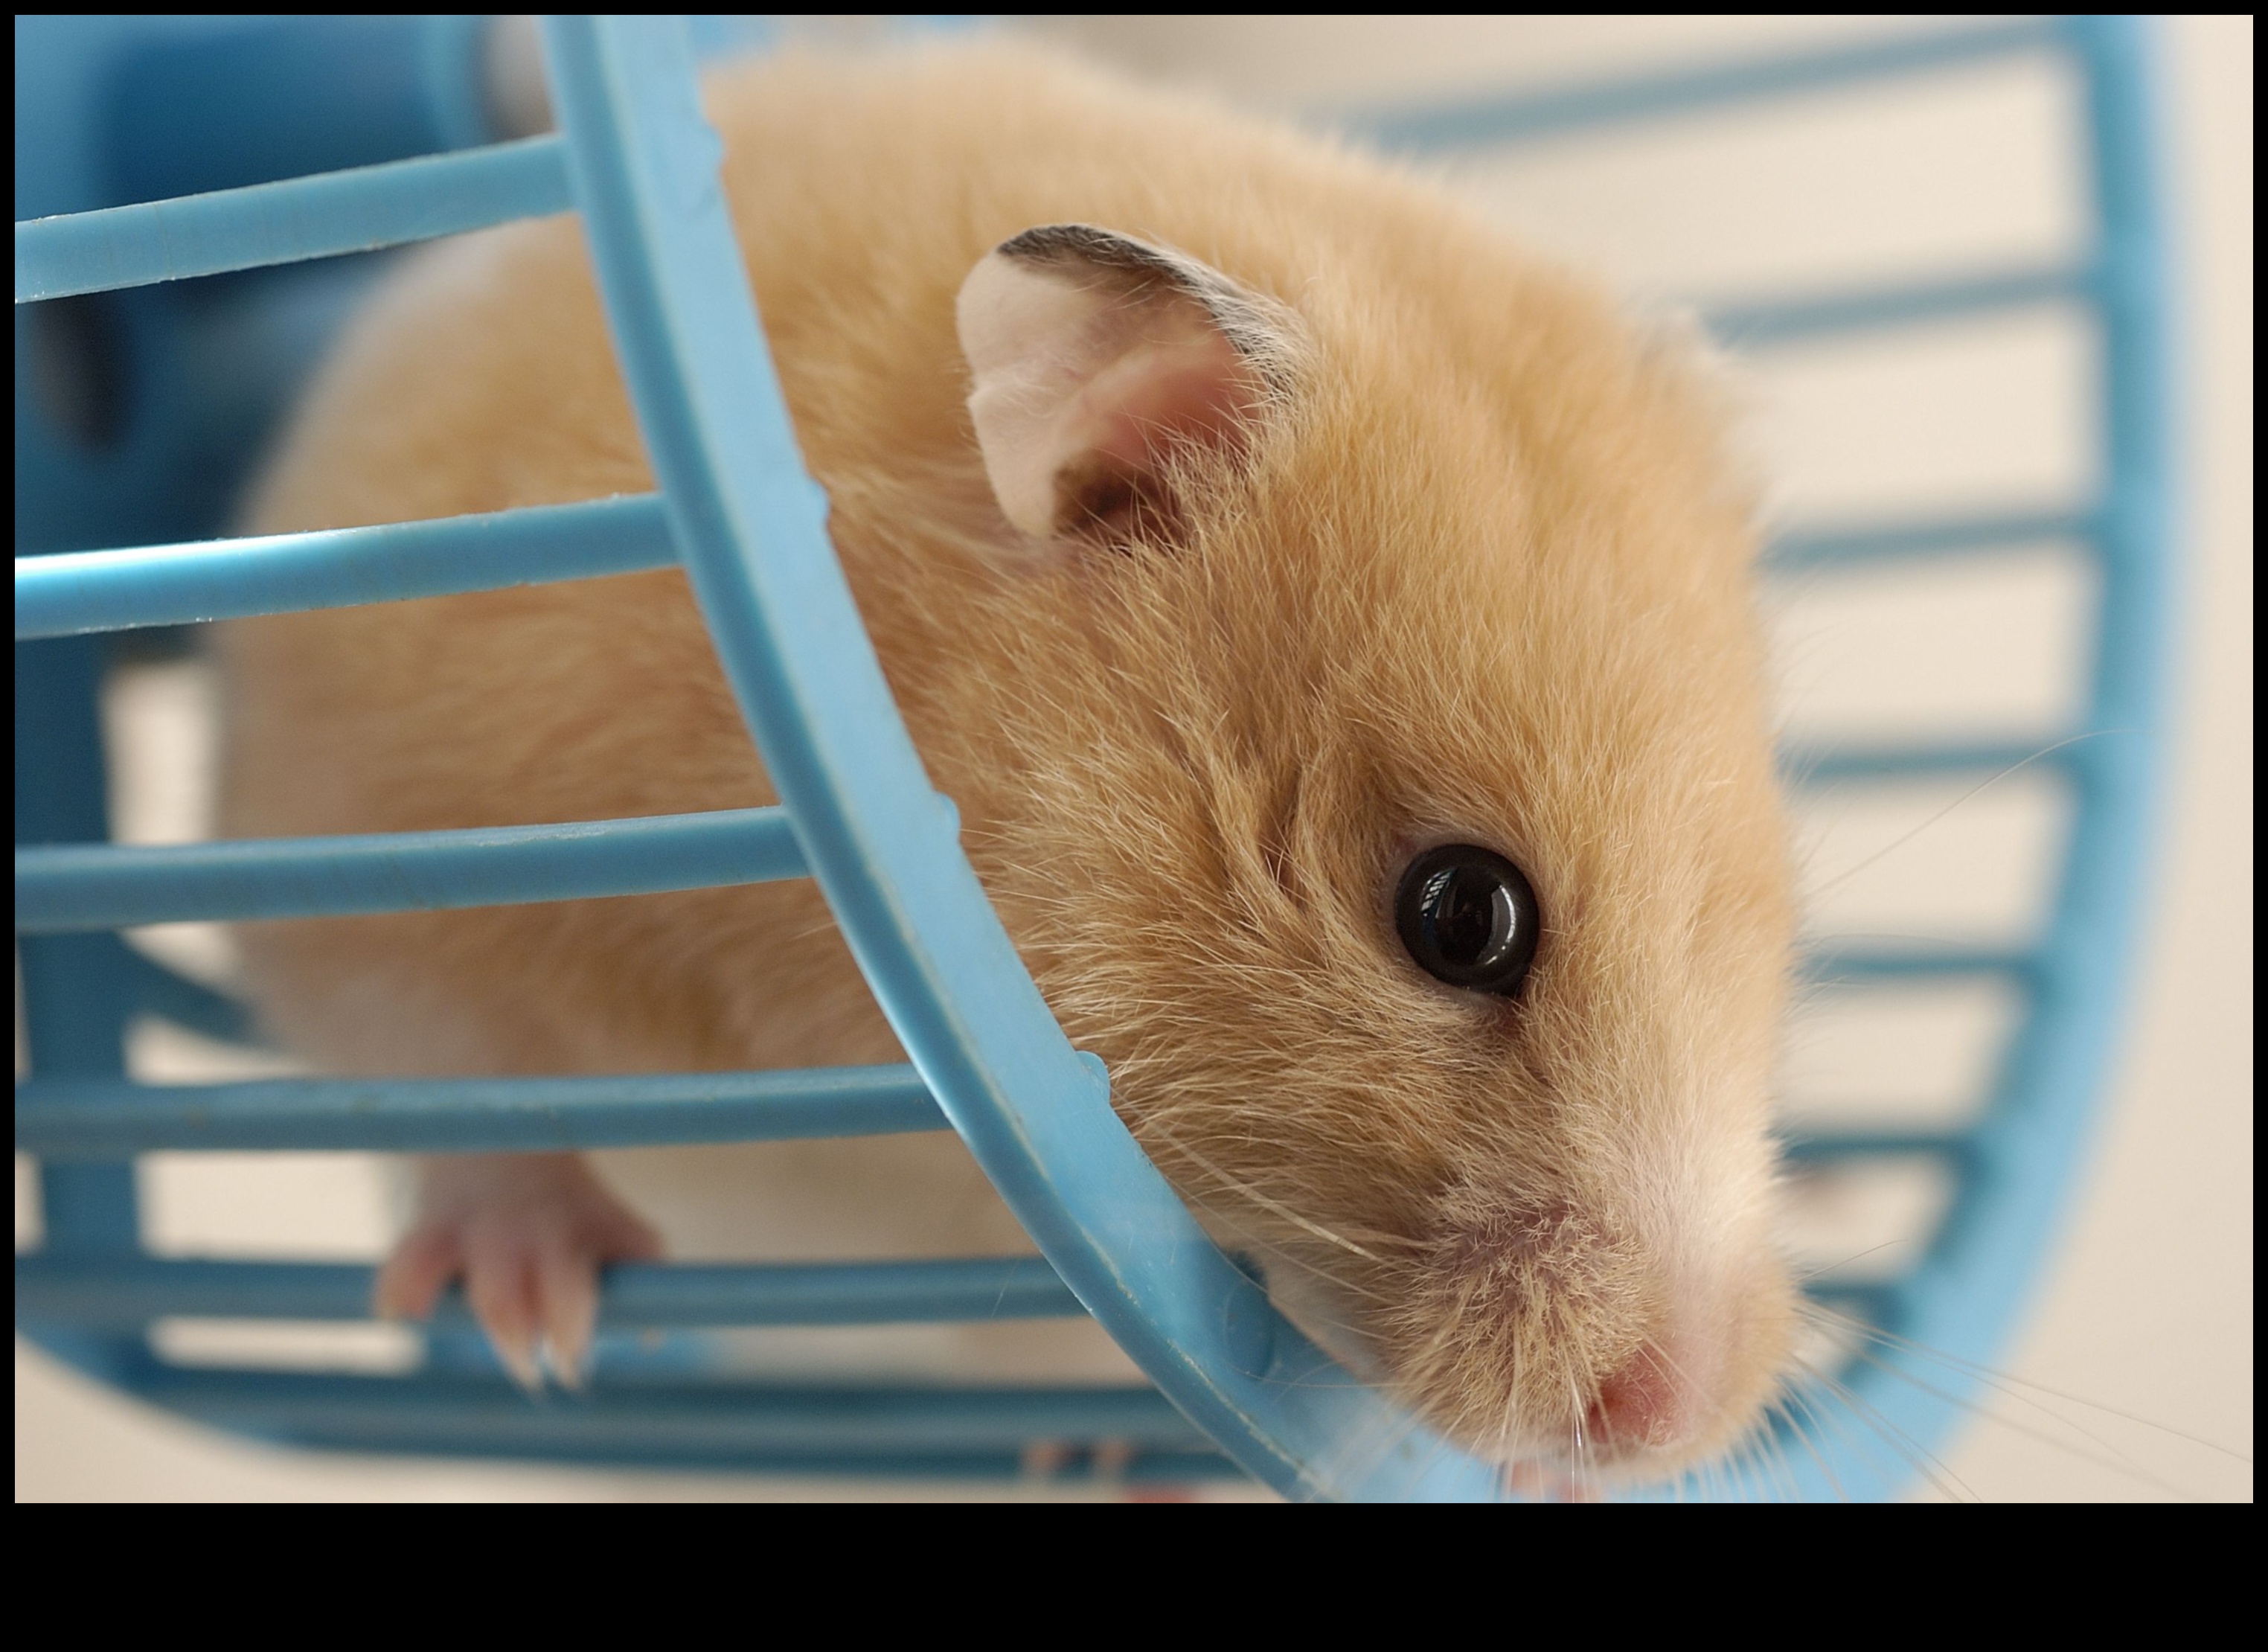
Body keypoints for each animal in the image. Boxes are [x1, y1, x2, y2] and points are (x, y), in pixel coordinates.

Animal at [216, 41, 1798, 1481]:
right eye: (1461, 915)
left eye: (1758, 928)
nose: (1671, 1423)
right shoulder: (385, 846)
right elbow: (454, 1080)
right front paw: (539, 1329)